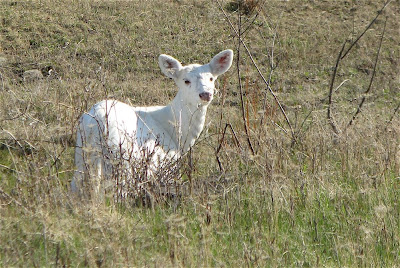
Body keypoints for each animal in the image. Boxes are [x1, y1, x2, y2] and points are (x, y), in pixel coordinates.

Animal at [71, 49, 233, 198]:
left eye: (211, 78)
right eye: (186, 80)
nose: (205, 94)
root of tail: (97, 124)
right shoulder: (168, 165)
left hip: (81, 158)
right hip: (121, 159)